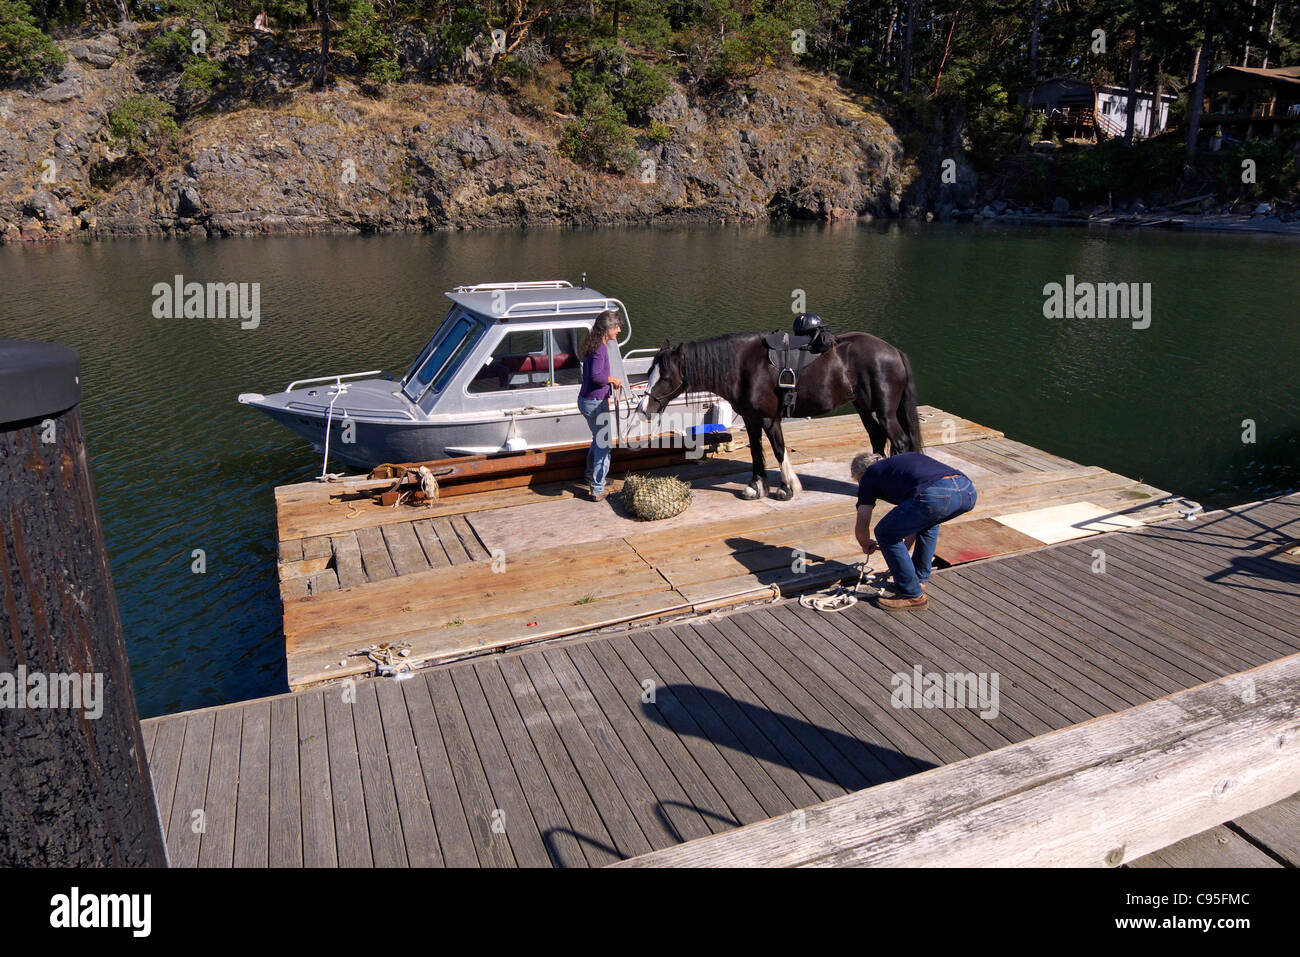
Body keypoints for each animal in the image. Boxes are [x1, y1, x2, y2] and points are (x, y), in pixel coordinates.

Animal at [635, 331, 923, 501]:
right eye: (649, 372)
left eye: (666, 377)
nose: (643, 408)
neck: (743, 367)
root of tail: (894, 352)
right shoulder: (751, 419)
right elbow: (756, 452)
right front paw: (756, 486)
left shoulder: (769, 419)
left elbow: (778, 450)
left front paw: (787, 488)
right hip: (865, 409)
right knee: (878, 440)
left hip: (884, 412)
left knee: (900, 442)